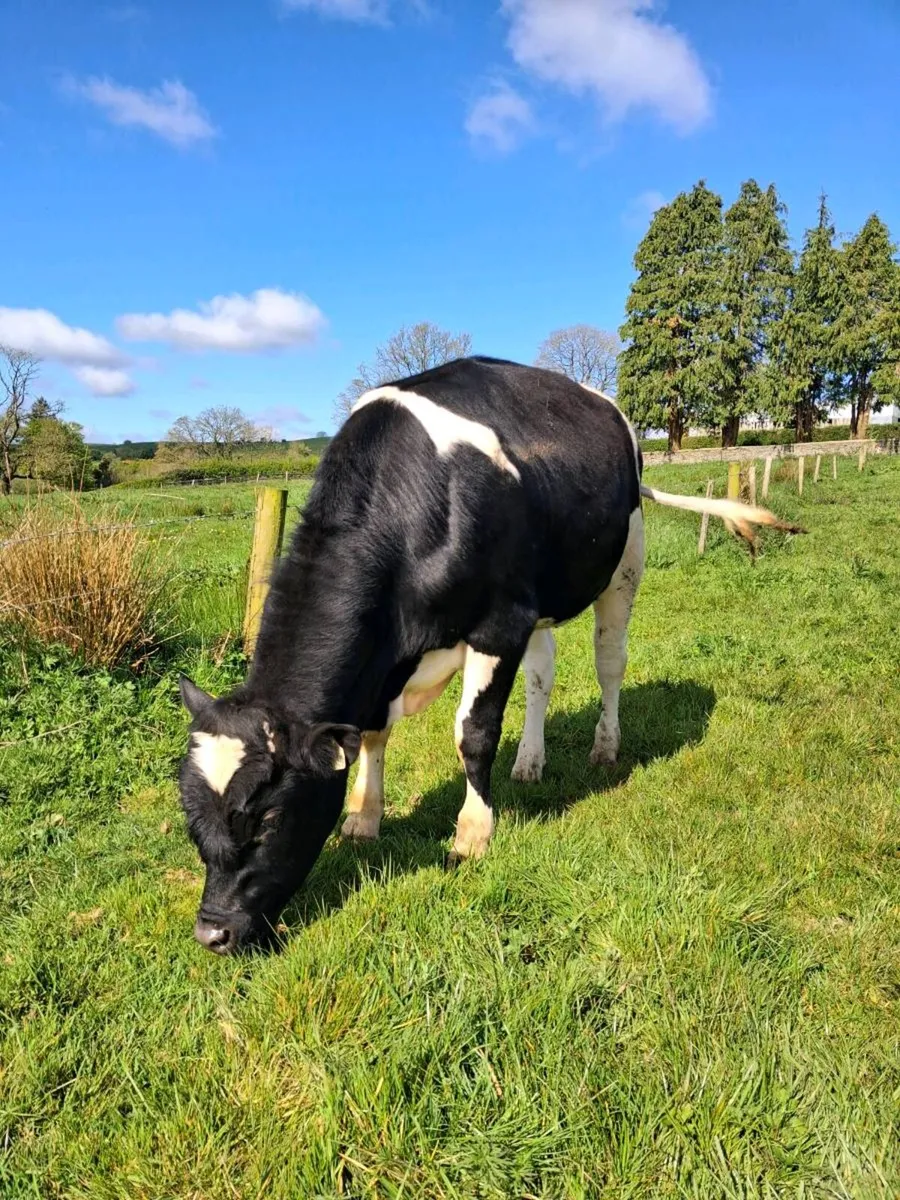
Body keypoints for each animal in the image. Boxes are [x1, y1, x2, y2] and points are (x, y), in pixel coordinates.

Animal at [176, 356, 799, 954]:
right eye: (191, 820)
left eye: (270, 817)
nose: (212, 935)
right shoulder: (393, 657)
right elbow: (374, 734)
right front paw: (364, 815)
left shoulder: (499, 625)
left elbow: (473, 732)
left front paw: (473, 832)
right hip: (540, 604)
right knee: (542, 675)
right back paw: (529, 762)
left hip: (623, 564)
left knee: (610, 662)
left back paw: (604, 746)